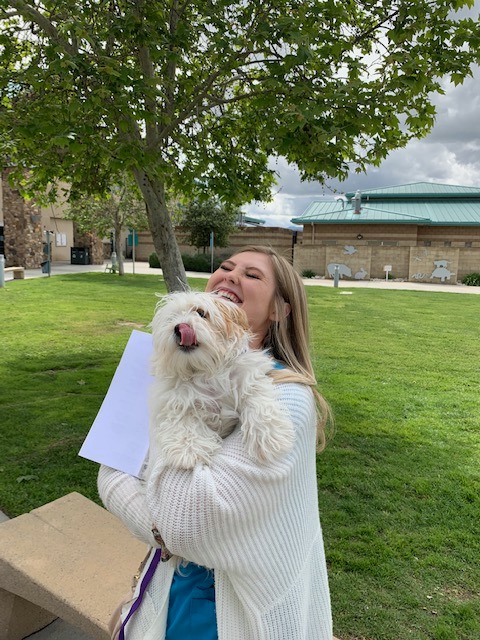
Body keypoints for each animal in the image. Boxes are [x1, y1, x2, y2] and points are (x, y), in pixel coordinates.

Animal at [148, 292, 294, 468]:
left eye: (201, 313)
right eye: (171, 319)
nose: (179, 327)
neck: (207, 370)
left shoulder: (247, 374)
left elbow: (256, 396)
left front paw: (268, 436)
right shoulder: (177, 396)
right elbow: (183, 417)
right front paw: (188, 449)